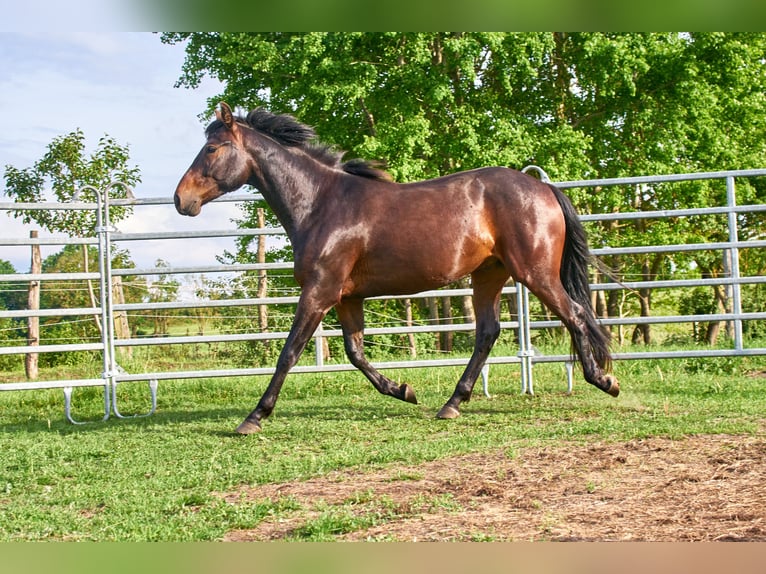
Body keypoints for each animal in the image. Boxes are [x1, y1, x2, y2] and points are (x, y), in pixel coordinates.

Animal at [174, 102, 619, 434]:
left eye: (212, 148)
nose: (181, 200)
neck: (321, 204)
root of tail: (543, 187)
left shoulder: (319, 292)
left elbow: (289, 353)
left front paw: (254, 417)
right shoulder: (346, 297)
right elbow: (355, 353)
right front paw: (404, 390)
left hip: (534, 273)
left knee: (575, 315)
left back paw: (604, 381)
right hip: (489, 274)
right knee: (488, 333)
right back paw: (451, 404)